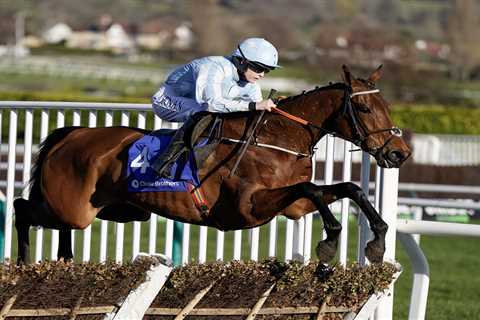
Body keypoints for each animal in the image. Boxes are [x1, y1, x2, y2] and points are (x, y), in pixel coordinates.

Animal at [14, 65, 412, 264]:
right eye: (363, 108)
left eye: (387, 106)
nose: (399, 153)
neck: (280, 139)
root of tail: (72, 134)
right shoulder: (246, 207)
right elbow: (311, 187)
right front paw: (331, 239)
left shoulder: (293, 207)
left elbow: (347, 188)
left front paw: (377, 240)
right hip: (73, 206)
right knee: (21, 207)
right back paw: (23, 262)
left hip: (121, 210)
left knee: (57, 225)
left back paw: (64, 259)